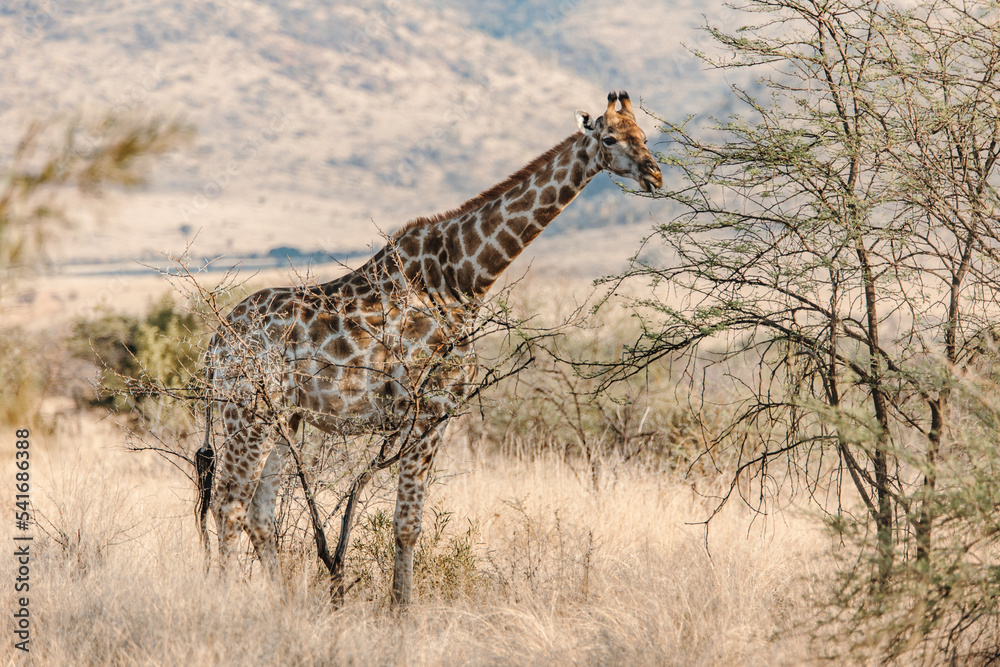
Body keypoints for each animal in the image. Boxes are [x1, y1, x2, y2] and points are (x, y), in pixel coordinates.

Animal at [195, 91, 664, 608]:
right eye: (609, 138)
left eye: (646, 135)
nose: (655, 174)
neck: (464, 276)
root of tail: (215, 342)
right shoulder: (432, 407)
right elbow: (407, 525)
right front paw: (403, 611)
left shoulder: (433, 411)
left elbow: (407, 522)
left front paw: (399, 606)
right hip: (249, 409)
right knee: (229, 505)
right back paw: (221, 601)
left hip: (285, 416)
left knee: (260, 514)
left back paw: (282, 603)